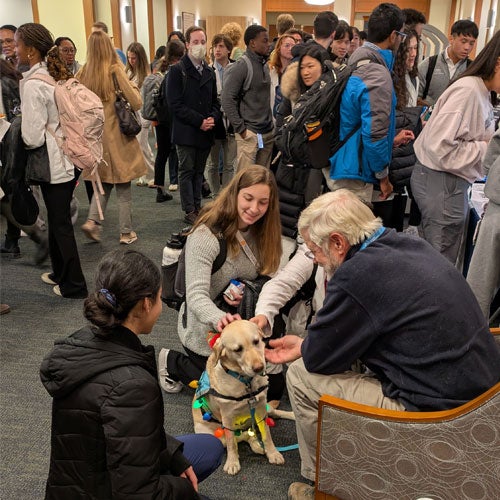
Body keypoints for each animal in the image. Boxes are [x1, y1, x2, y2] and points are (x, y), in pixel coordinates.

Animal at [194, 318, 292, 474]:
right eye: (237, 349)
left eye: (256, 341)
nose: (259, 368)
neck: (246, 382)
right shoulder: (227, 417)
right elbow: (231, 443)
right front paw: (232, 462)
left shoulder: (260, 409)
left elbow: (267, 435)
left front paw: (273, 453)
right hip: (211, 434)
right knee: (241, 436)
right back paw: (255, 445)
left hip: (266, 409)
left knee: (274, 414)